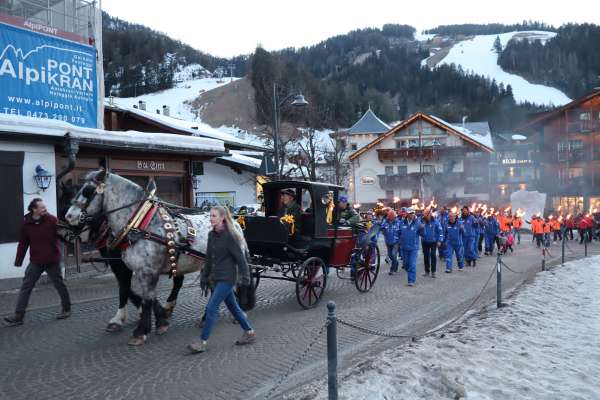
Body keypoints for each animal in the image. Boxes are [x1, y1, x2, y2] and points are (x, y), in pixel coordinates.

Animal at [64, 169, 211, 344]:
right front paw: (159, 320)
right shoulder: (137, 269)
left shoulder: (146, 270)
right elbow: (141, 293)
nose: (69, 216)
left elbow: (143, 297)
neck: (141, 226)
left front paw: (140, 331)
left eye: (88, 191)